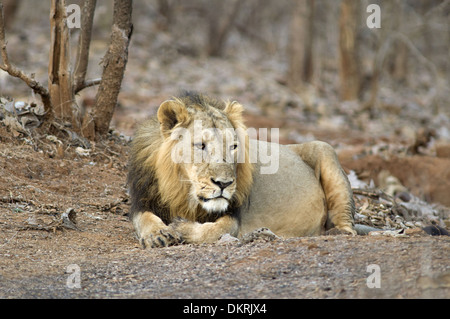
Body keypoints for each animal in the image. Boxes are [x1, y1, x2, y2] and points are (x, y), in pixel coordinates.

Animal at [126, 91, 356, 249]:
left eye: (233, 146)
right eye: (200, 145)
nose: (224, 184)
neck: (183, 191)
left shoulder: (234, 214)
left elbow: (216, 230)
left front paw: (180, 227)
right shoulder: (142, 200)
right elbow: (144, 219)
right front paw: (157, 234)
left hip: (325, 150)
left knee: (347, 224)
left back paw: (335, 234)